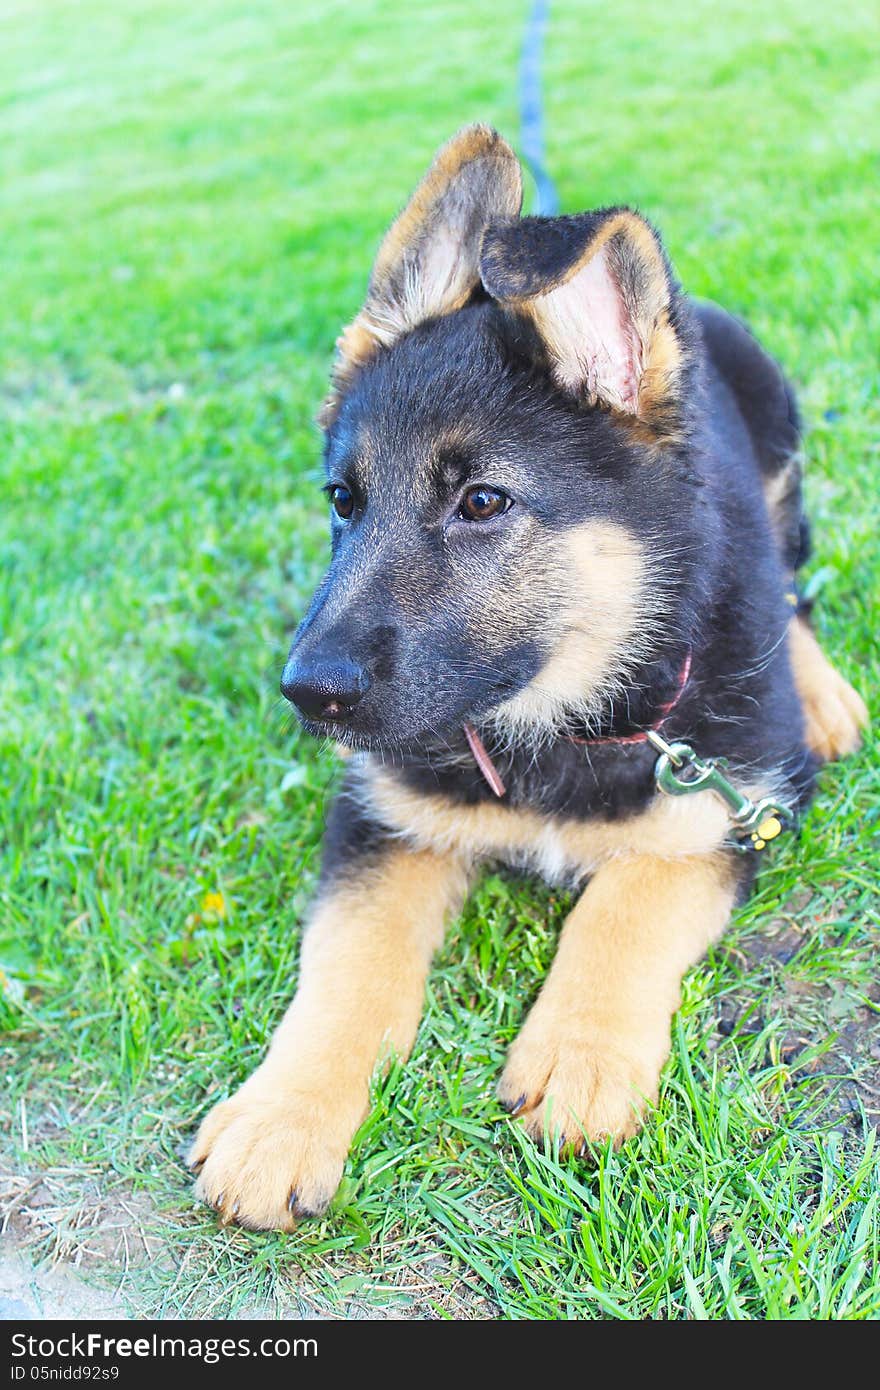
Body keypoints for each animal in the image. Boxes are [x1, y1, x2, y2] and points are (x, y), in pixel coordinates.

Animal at [187, 119, 867, 1228]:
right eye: (343, 501)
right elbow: (347, 962)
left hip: (778, 458)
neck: (559, 714)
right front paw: (281, 1117)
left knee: (788, 575)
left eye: (482, 502)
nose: (307, 692)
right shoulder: (381, 816)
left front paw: (579, 1057)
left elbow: (626, 903)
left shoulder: (730, 806)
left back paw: (822, 692)